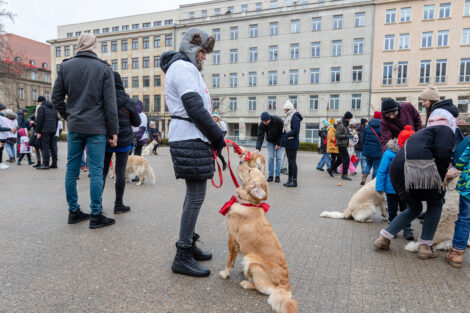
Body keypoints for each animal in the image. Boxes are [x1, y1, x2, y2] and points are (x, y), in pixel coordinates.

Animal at [219, 162, 298, 310]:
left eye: (250, 170)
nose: (240, 162)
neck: (249, 203)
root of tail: (285, 287)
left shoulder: (232, 240)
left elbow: (229, 262)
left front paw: (225, 274)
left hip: (252, 261)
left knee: (264, 289)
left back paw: (247, 283)